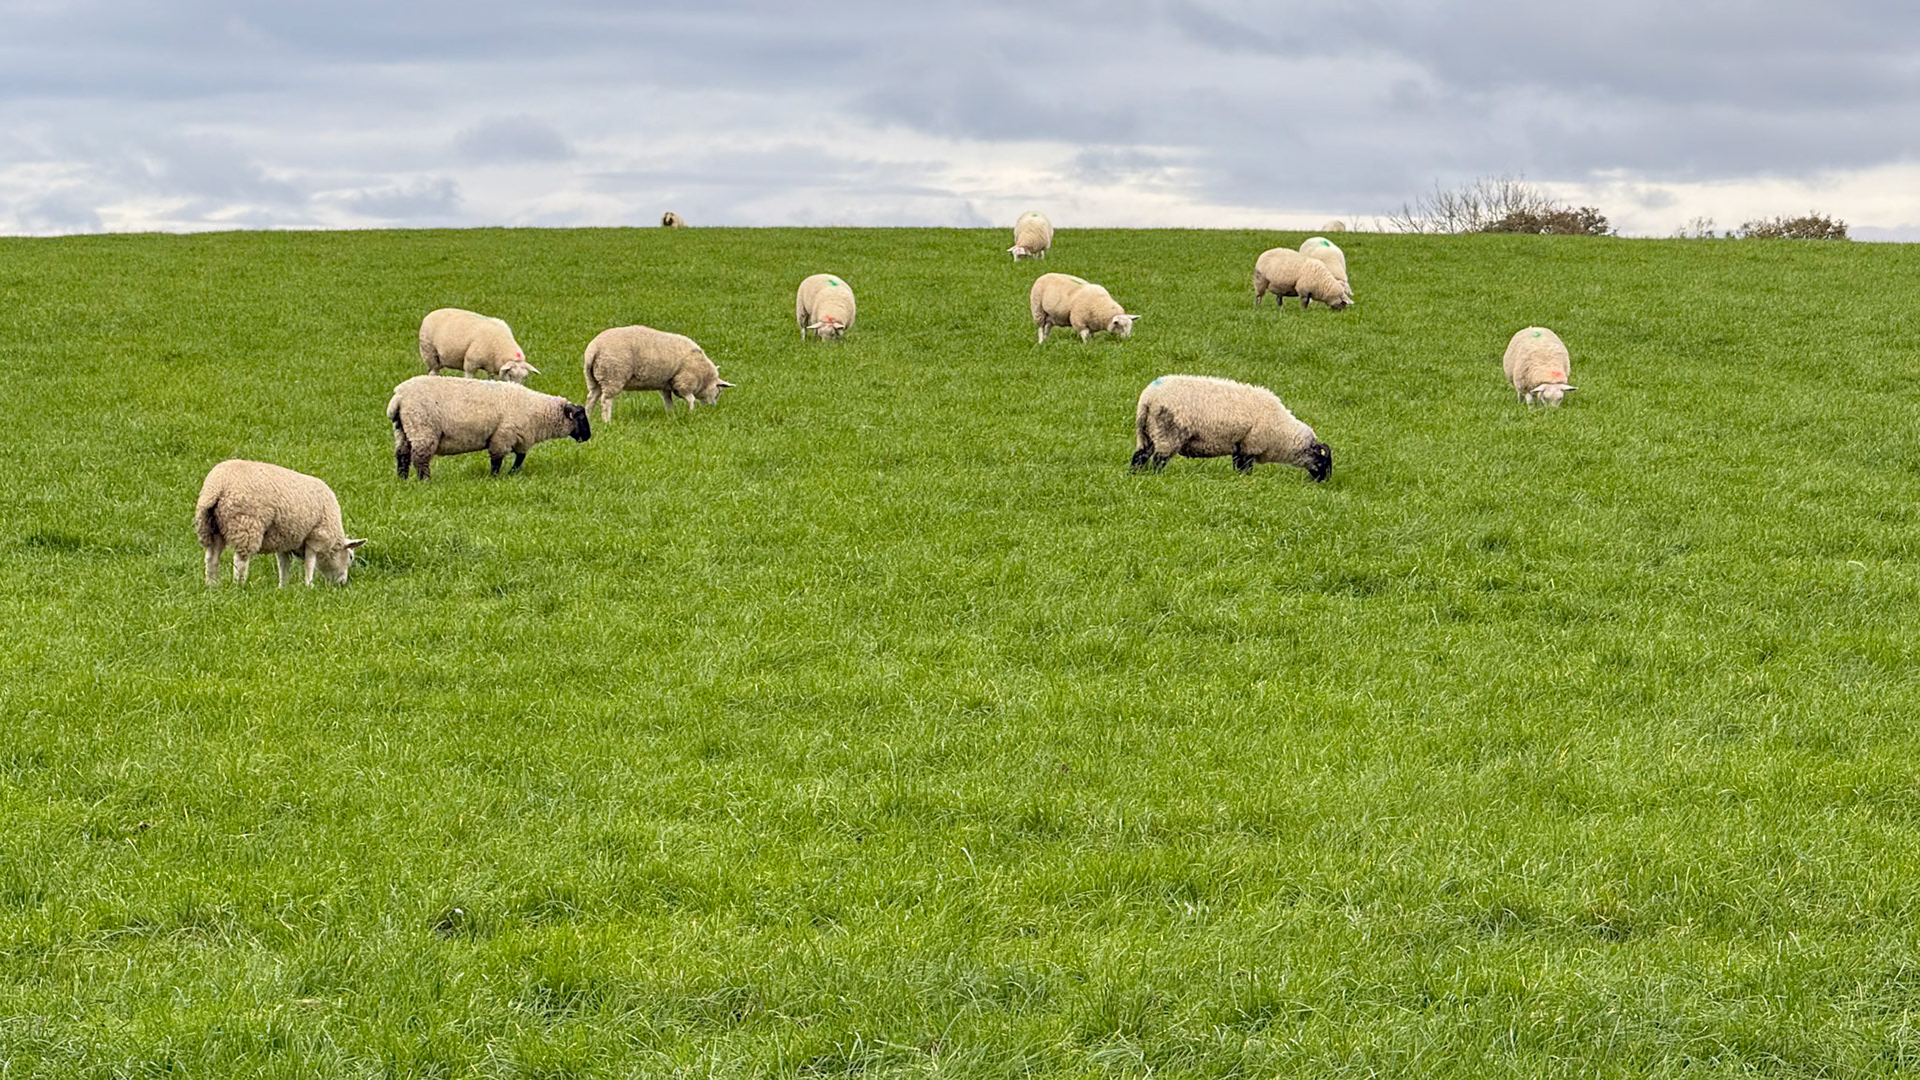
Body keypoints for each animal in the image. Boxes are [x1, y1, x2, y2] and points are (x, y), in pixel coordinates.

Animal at [194, 459, 366, 586]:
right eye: (351, 557)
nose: (342, 583)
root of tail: (218, 486)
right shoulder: (315, 537)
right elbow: (310, 563)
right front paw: (309, 585)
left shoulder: (284, 539)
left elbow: (284, 564)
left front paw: (283, 586)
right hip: (246, 524)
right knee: (240, 560)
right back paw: (239, 585)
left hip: (210, 525)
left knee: (211, 557)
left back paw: (212, 585)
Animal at [387, 375, 591, 480]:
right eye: (580, 418)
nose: (588, 436)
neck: (537, 410)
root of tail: (399, 397)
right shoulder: (503, 436)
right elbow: (497, 460)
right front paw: (494, 478)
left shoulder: (520, 439)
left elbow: (520, 458)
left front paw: (512, 473)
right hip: (423, 428)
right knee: (419, 459)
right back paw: (425, 481)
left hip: (404, 430)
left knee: (402, 455)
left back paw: (402, 479)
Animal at [581, 325, 734, 420]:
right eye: (718, 393)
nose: (712, 409)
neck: (703, 376)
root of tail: (594, 349)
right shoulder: (684, 381)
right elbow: (690, 399)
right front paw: (692, 413)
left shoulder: (666, 384)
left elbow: (668, 400)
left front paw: (671, 415)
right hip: (612, 375)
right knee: (605, 400)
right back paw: (607, 421)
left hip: (595, 378)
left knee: (591, 398)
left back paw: (588, 418)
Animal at [1131, 375, 1332, 482]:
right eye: (1324, 461)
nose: (1325, 481)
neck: (1282, 433)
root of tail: (1148, 397)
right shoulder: (1250, 446)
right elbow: (1245, 468)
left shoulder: (1240, 446)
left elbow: (1238, 466)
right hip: (1167, 434)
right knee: (1158, 460)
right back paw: (1157, 476)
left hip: (1146, 432)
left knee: (1139, 457)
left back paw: (1134, 475)